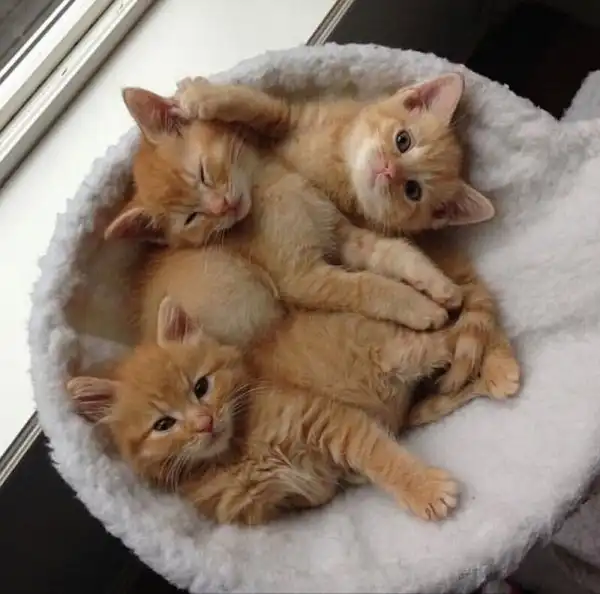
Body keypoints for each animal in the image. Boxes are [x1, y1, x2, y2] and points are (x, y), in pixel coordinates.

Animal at [67, 296, 459, 526]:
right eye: (163, 424)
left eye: (201, 387)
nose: (204, 422)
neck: (236, 453)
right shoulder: (267, 503)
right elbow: (320, 489)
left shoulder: (325, 417)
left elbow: (380, 456)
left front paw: (425, 489)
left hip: (399, 354)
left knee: (452, 341)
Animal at [171, 73, 521, 424]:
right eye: (402, 141)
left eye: (413, 190)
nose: (388, 170)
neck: (338, 168)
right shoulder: (292, 124)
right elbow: (259, 106)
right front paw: (203, 96)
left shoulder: (329, 252)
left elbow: (382, 267)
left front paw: (433, 291)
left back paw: (499, 367)